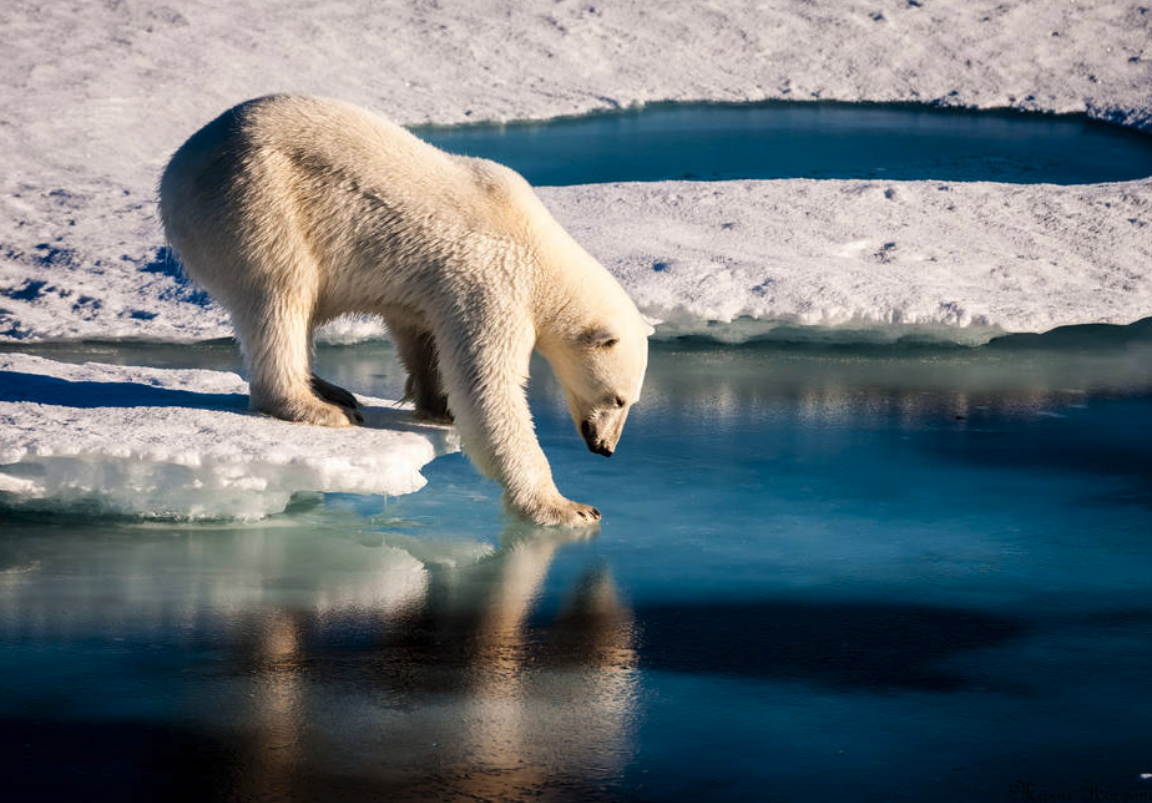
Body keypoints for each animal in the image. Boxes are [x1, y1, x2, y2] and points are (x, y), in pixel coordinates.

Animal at [158, 93, 654, 525]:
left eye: (630, 400)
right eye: (618, 398)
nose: (605, 448)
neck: (537, 247)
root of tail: (176, 169)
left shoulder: (436, 286)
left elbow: (421, 333)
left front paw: (438, 405)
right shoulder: (493, 282)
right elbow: (488, 387)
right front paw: (568, 508)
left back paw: (331, 389)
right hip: (258, 201)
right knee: (281, 294)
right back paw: (317, 407)